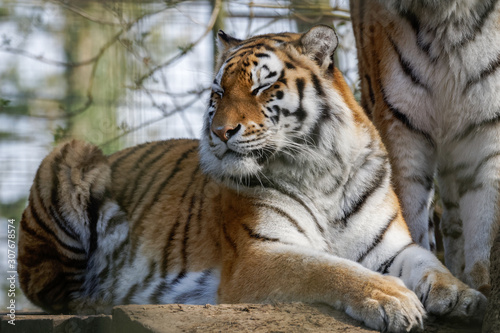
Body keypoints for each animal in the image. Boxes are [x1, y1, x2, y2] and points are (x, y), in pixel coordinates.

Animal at [17, 24, 486, 330]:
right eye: (219, 92)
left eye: (262, 88)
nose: (220, 132)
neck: (321, 174)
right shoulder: (258, 253)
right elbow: (325, 268)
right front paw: (391, 298)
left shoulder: (391, 246)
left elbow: (429, 262)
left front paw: (462, 295)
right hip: (72, 158)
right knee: (52, 288)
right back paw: (102, 296)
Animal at [350, 0, 500, 296]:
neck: (449, 18)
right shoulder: (400, 123)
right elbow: (408, 212)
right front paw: (436, 281)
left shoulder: (488, 125)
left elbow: (485, 216)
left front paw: (482, 281)